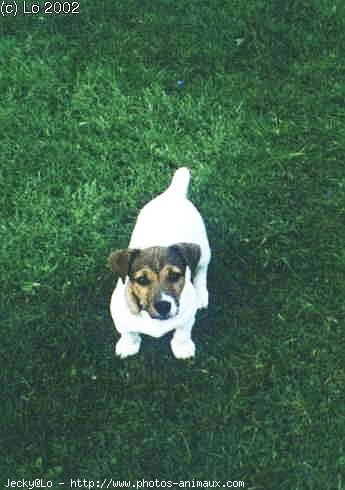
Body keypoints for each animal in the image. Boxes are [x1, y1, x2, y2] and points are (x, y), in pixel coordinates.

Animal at [107, 168, 210, 360]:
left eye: (175, 276)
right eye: (141, 280)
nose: (163, 306)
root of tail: (173, 194)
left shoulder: (187, 316)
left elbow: (182, 332)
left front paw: (182, 348)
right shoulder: (119, 316)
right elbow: (128, 333)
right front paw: (128, 346)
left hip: (205, 251)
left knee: (202, 270)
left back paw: (202, 294)